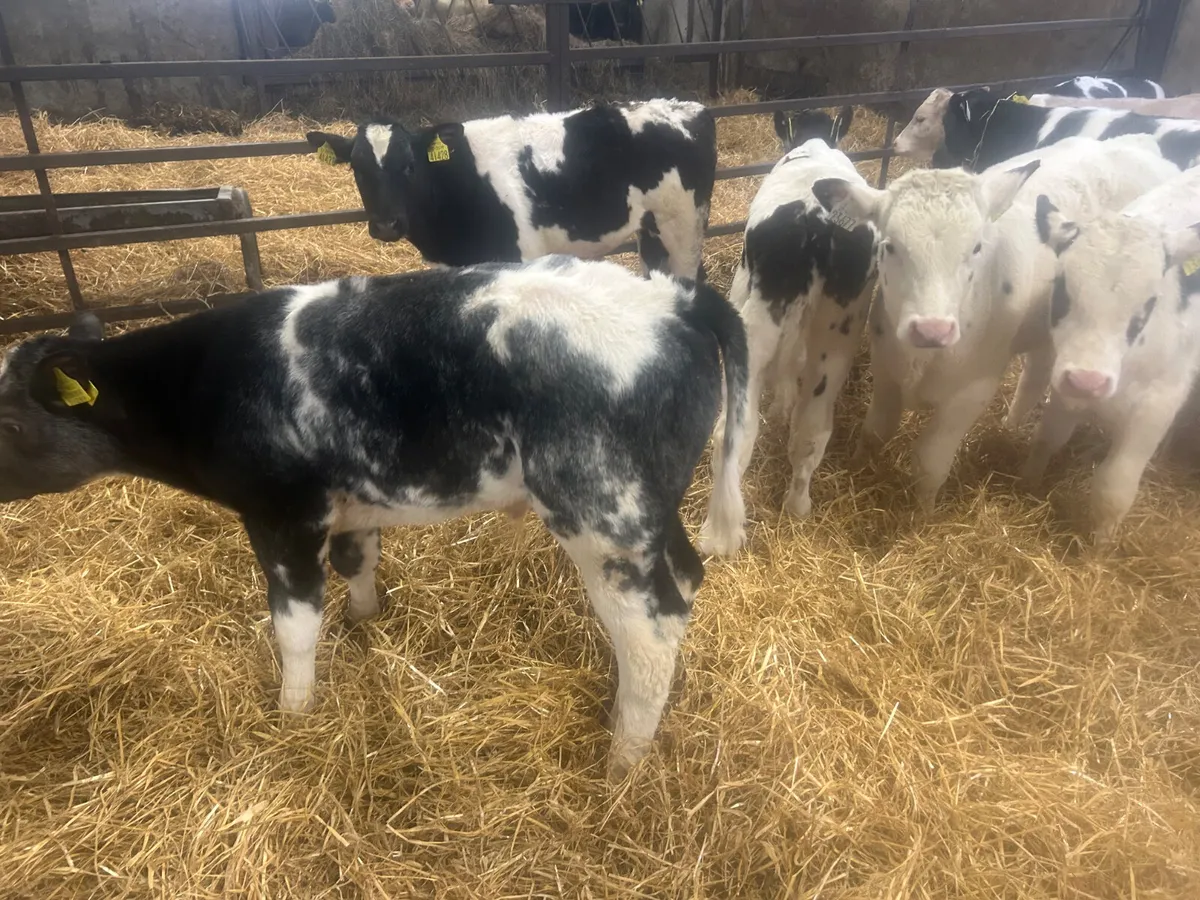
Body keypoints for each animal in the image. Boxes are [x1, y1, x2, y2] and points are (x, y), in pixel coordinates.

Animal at [0, 256, 749, 781]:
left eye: (8, 419)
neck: (208, 381)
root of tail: (672, 296)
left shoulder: (283, 514)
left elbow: (295, 625)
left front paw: (294, 714)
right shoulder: (349, 504)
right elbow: (358, 562)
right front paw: (366, 623)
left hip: (603, 512)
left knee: (652, 626)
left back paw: (622, 757)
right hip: (654, 509)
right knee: (687, 577)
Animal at [305, 99, 717, 281]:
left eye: (409, 166)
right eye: (357, 169)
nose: (386, 225)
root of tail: (688, 107)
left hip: (684, 229)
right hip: (652, 231)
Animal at [699, 109, 877, 555]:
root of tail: (819, 221)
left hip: (754, 317)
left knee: (735, 431)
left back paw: (719, 531)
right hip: (839, 329)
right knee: (812, 427)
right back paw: (798, 506)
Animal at [810, 135, 1180, 511]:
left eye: (976, 248)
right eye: (890, 246)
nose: (932, 329)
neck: (923, 359)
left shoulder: (973, 390)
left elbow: (930, 463)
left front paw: (922, 514)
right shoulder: (886, 367)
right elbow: (875, 432)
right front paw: (858, 468)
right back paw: (1011, 425)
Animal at [1024, 167, 1200, 545]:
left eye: (1150, 302)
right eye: (1061, 287)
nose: (1088, 381)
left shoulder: (1159, 402)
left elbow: (1114, 486)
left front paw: (1100, 547)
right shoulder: (1065, 378)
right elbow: (1047, 438)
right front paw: (1026, 481)